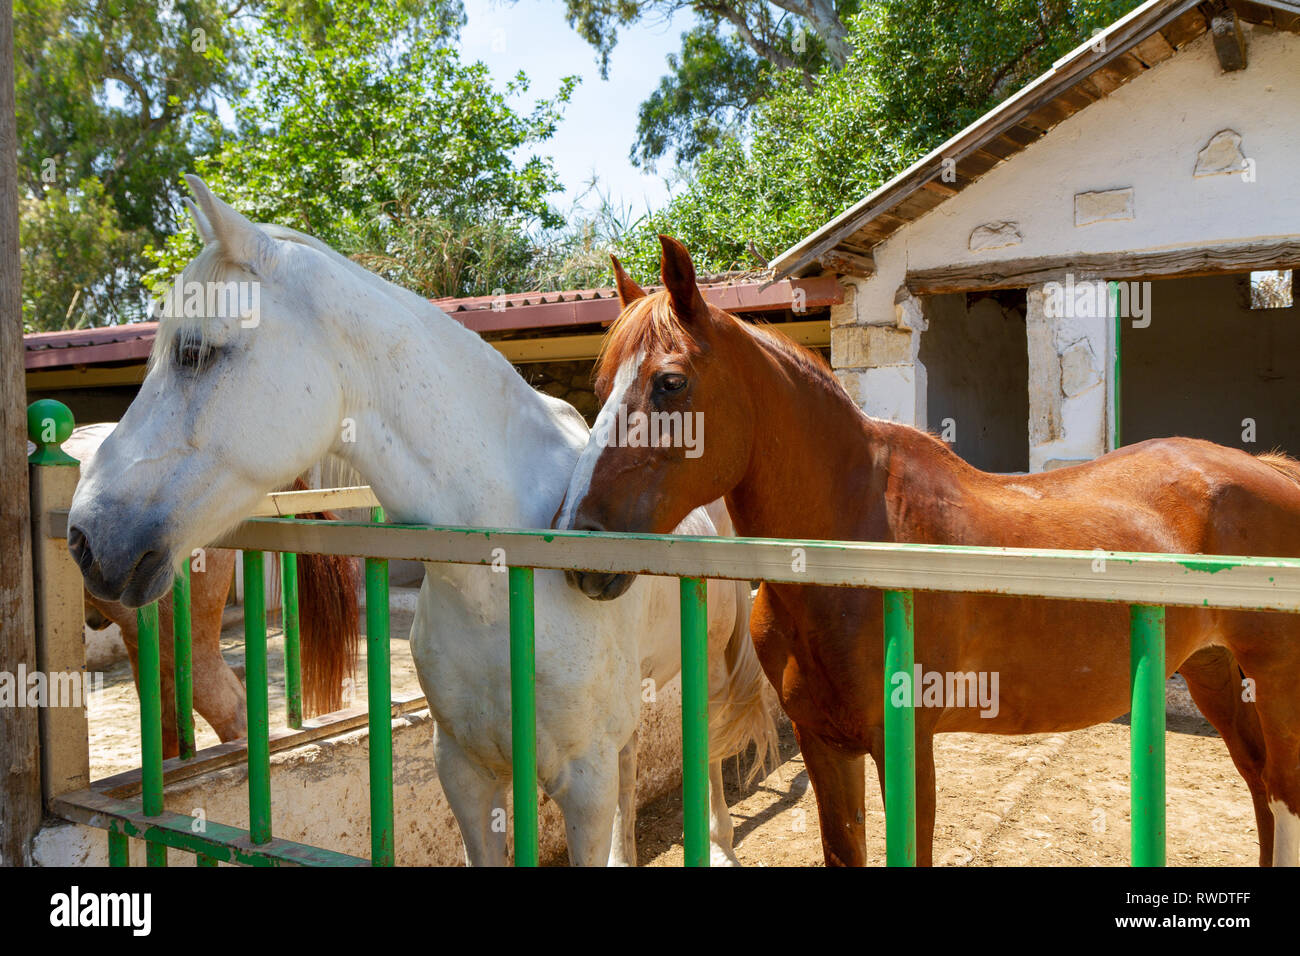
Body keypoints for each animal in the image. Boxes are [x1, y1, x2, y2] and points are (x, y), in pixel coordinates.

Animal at [68, 174, 769, 868]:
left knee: (707, 754)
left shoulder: (582, 782)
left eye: (194, 352)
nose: (83, 536)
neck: (502, 566)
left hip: (704, 673)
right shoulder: (462, 769)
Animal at [559, 238, 1300, 868]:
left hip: (1275, 682)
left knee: (1283, 793)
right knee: (1259, 787)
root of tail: (1270, 471)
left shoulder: (906, 745)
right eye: (599, 387)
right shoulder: (824, 743)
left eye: (670, 383)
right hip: (1214, 672)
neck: (855, 547)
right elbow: (844, 850)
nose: (578, 546)